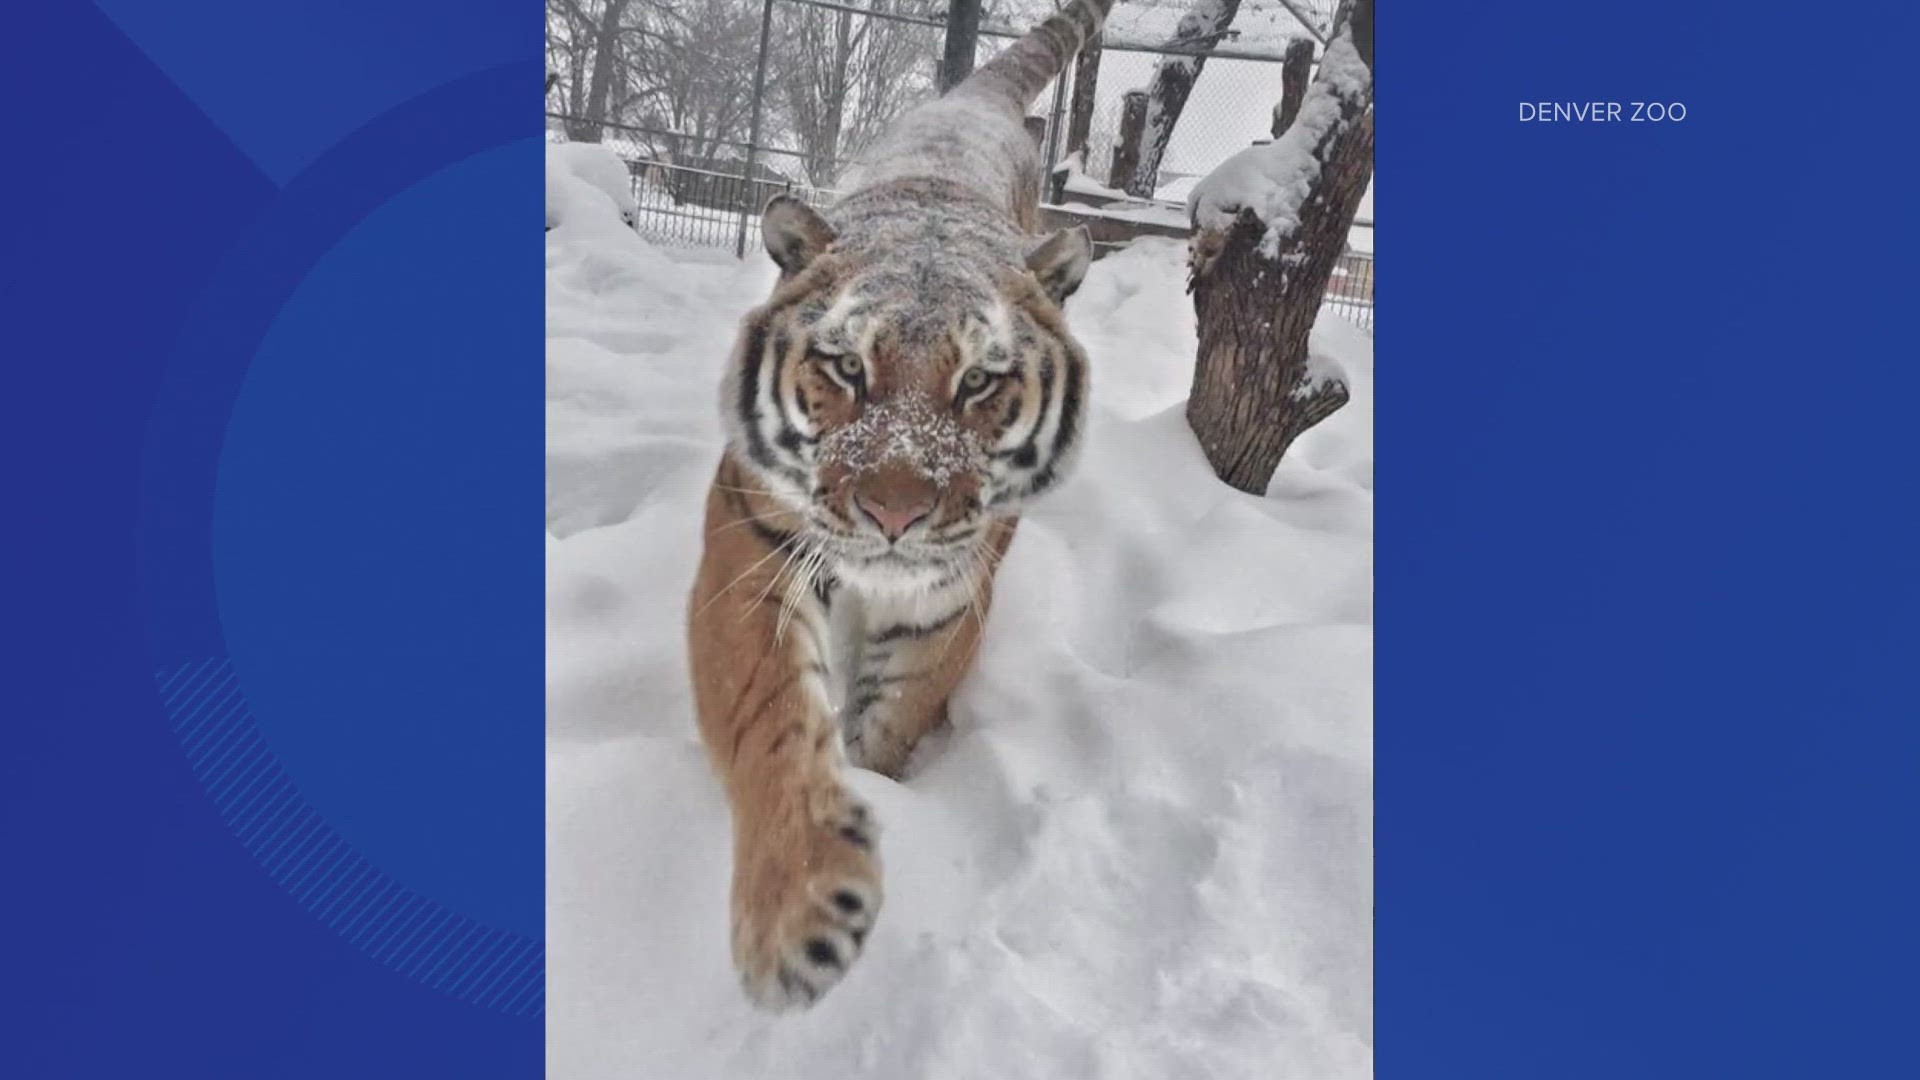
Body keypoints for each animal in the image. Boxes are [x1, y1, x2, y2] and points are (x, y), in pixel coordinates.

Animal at [691, 0, 1121, 1006]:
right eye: (847, 367)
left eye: (980, 382)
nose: (895, 514)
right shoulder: (752, 545)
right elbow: (770, 711)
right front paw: (800, 911)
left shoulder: (951, 588)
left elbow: (899, 707)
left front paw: (880, 780)